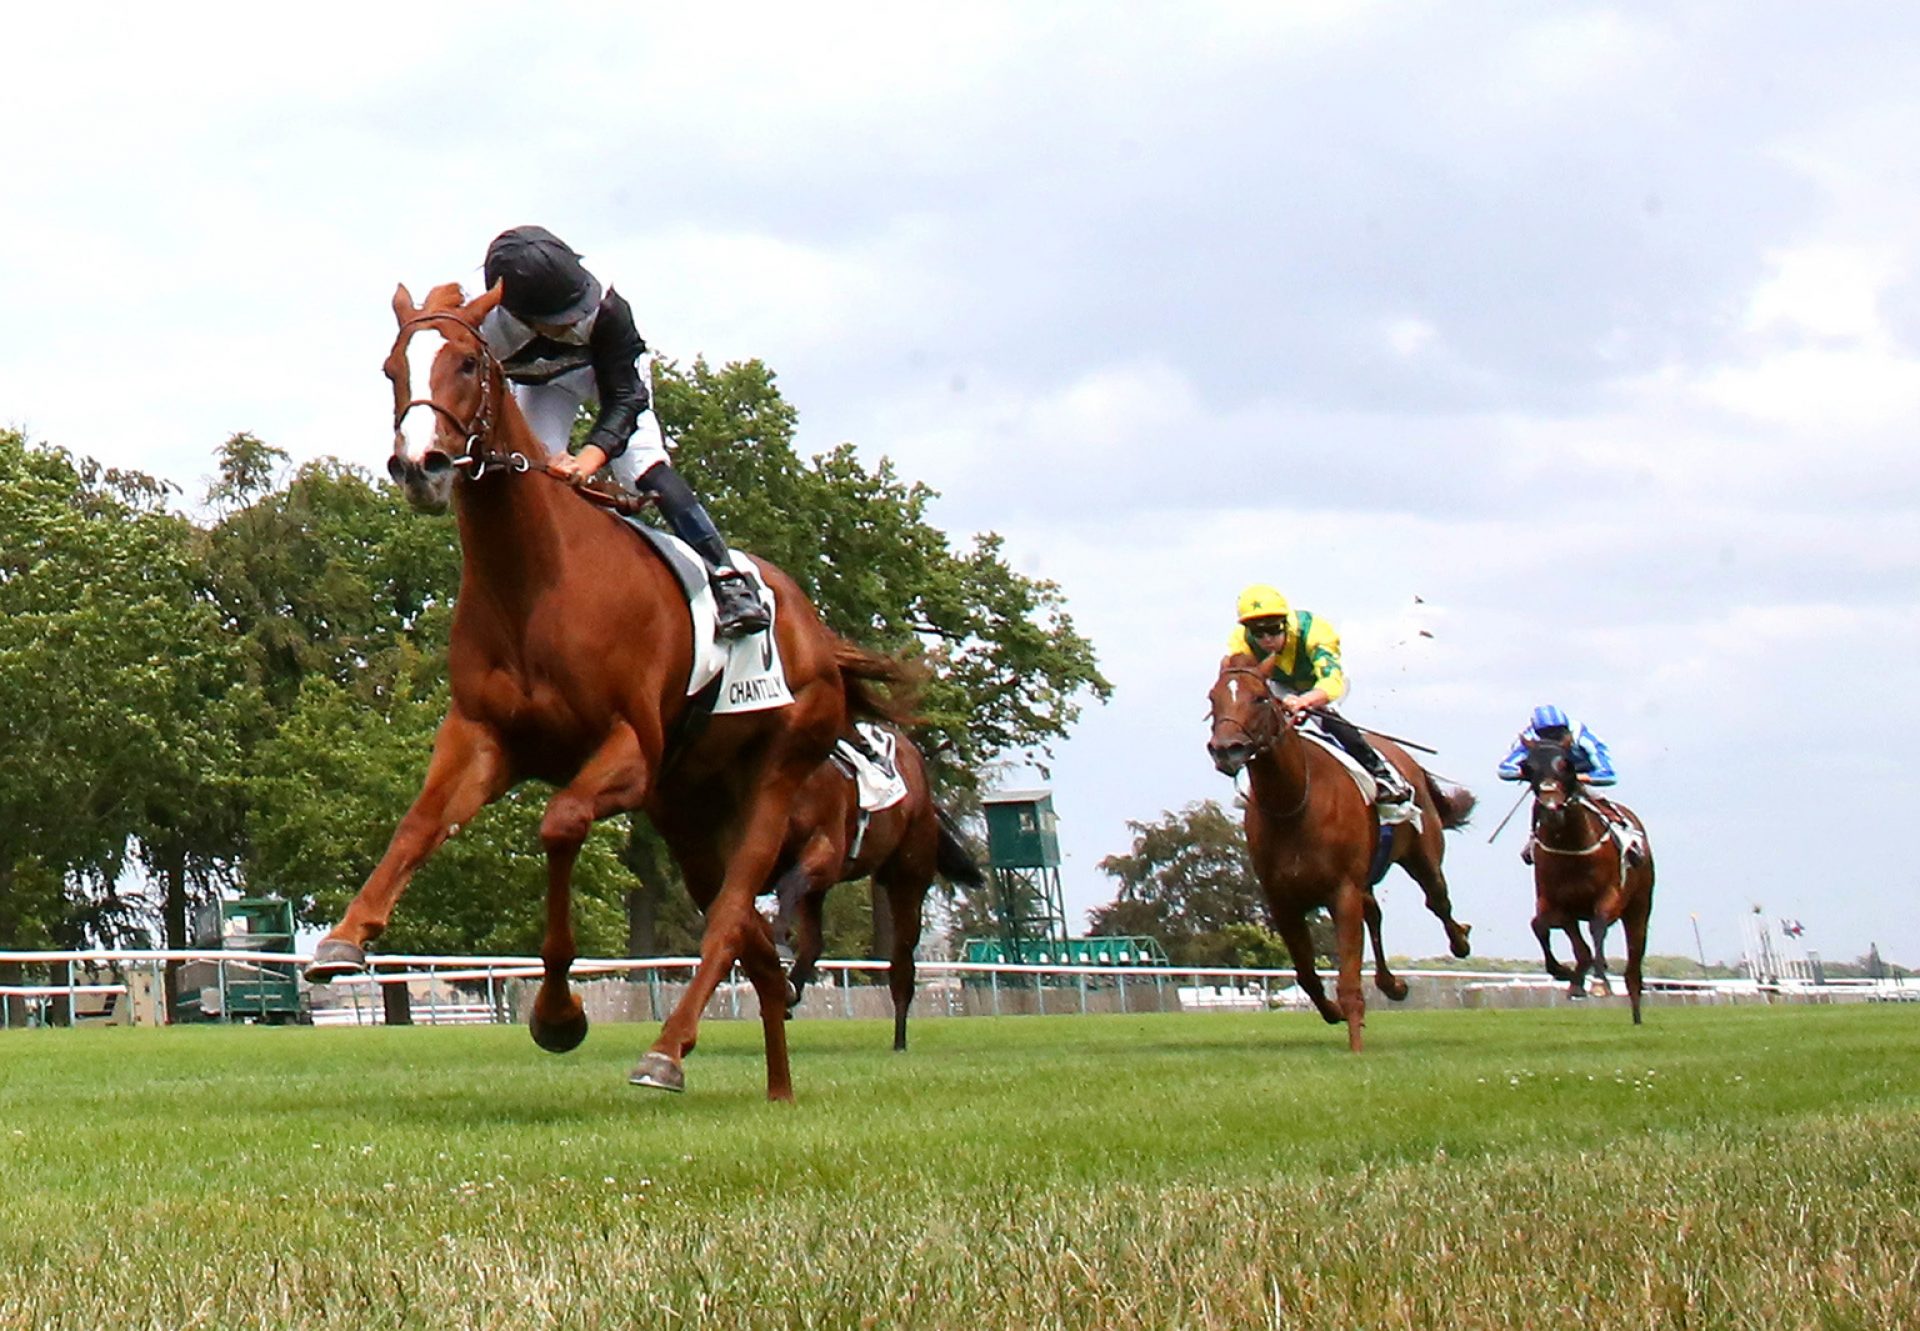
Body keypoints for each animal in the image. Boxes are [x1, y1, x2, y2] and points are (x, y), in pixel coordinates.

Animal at [307, 280, 913, 1098]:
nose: (419, 464)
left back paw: (666, 1051)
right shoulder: (482, 736)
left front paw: (559, 1013)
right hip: (689, 810)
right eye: (391, 368)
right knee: (751, 940)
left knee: (731, 916)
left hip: (776, 778)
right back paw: (776, 1086)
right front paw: (344, 939)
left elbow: (560, 824)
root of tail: (816, 631)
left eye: (466, 362)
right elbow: (418, 823)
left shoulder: (628, 753)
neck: (536, 580)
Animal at [768, 726, 983, 1052]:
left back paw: (899, 1041)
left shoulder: (826, 848)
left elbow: (786, 885)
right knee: (814, 941)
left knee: (902, 963)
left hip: (907, 879)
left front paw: (779, 949)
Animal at [1205, 653, 1474, 1052]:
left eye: (1260, 698)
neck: (1294, 803)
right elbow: (1306, 974)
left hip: (1422, 856)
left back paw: (1461, 940)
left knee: (1437, 901)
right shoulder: (1282, 901)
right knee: (1375, 915)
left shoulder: (1342, 892)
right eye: (1213, 699)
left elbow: (1347, 979)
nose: (1226, 749)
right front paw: (1336, 1013)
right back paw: (1392, 984)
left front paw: (1356, 1044)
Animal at [1512, 737, 1651, 1014]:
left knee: (1634, 957)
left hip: (1639, 907)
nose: (1552, 808)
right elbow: (1540, 927)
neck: (1571, 848)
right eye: (1527, 767)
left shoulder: (1610, 895)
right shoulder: (1555, 901)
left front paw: (1599, 982)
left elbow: (1597, 927)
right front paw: (1565, 973)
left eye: (1567, 764)